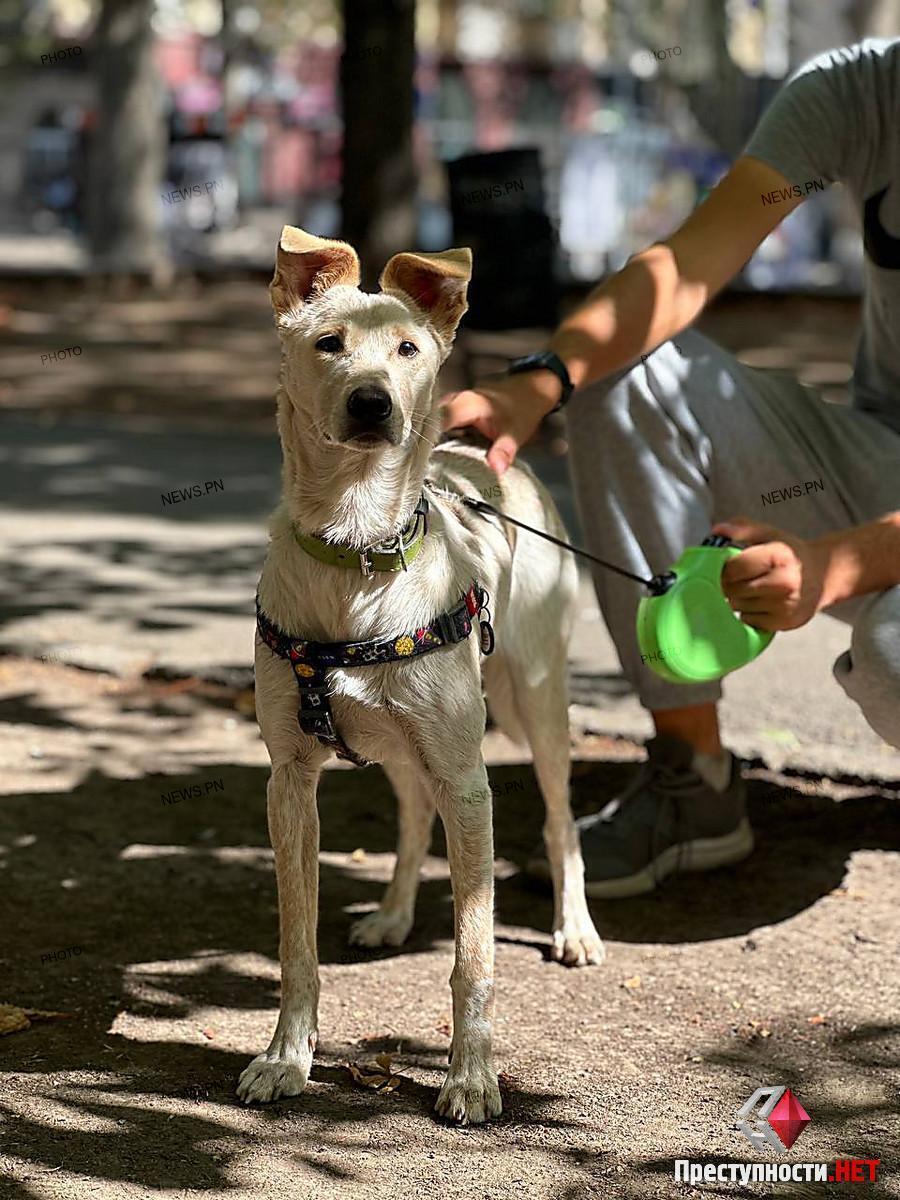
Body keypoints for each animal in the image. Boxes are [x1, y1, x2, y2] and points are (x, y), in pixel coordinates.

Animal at [240, 226, 607, 1123]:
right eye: (328, 344)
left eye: (408, 350)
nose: (373, 402)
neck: (358, 552)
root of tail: (483, 457)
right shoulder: (289, 779)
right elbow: (296, 944)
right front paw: (287, 1058)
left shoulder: (469, 778)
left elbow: (474, 951)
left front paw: (471, 1077)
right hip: (407, 743)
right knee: (412, 819)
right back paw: (396, 911)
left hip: (533, 701)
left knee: (558, 819)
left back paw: (575, 929)